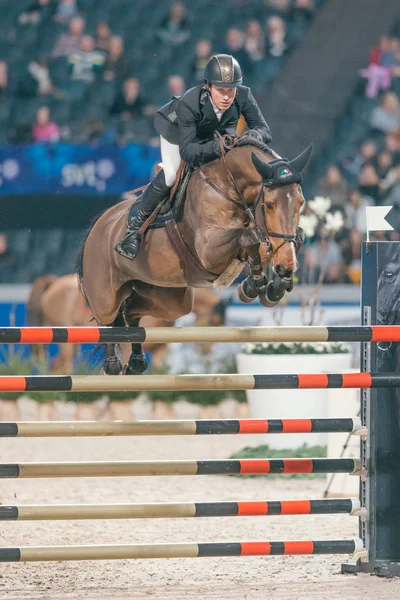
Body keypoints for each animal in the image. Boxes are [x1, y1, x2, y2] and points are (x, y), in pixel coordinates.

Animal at [76, 137, 310, 376]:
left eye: (300, 202)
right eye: (269, 205)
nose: (285, 266)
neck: (227, 186)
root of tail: (98, 225)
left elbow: (285, 239)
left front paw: (269, 287)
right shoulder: (209, 251)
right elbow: (248, 236)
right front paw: (258, 284)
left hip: (170, 298)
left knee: (131, 311)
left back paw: (136, 363)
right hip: (106, 297)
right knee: (109, 321)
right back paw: (113, 364)